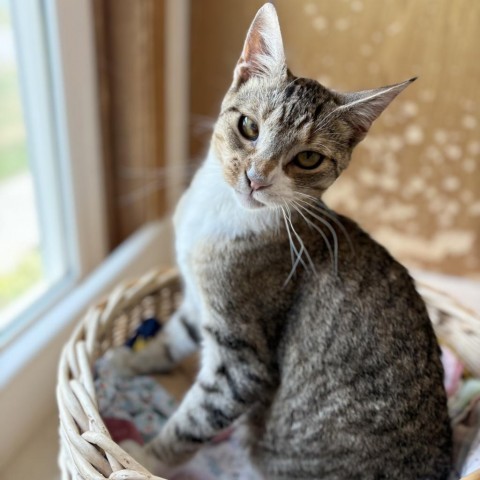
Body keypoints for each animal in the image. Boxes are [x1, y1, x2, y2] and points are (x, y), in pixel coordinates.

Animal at [109, 3, 454, 480]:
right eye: (248, 127)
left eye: (307, 158)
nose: (256, 177)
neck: (217, 215)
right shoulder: (199, 301)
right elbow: (173, 335)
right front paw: (130, 360)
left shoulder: (244, 360)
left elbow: (195, 419)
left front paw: (142, 458)